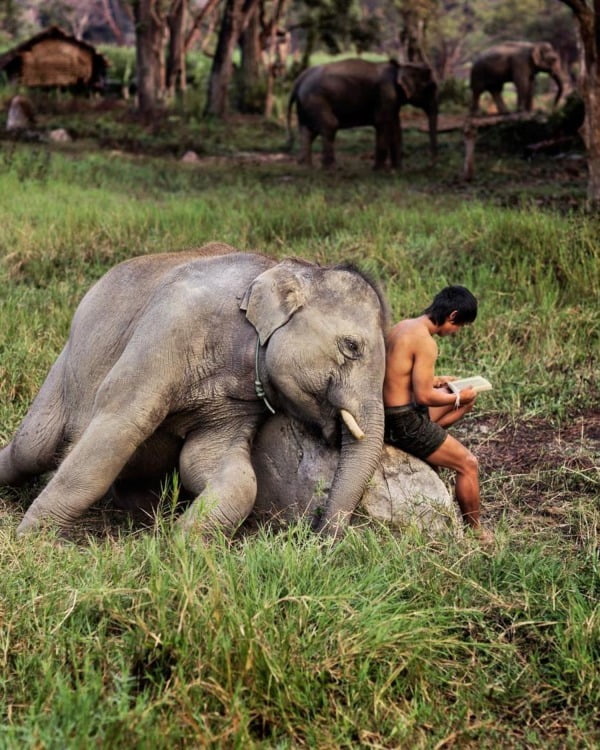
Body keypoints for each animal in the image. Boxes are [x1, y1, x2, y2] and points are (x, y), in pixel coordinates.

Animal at [1, 245, 390, 540]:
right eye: (352, 346)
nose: (318, 535)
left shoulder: (238, 401)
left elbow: (217, 465)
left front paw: (181, 545)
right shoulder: (171, 325)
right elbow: (120, 425)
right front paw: (32, 540)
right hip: (66, 364)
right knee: (32, 448)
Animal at [286, 58, 436, 170]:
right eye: (431, 88)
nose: (430, 165)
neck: (400, 66)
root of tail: (299, 80)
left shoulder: (392, 100)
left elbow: (395, 127)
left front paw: (397, 170)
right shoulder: (386, 94)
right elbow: (382, 123)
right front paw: (380, 170)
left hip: (306, 104)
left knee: (308, 131)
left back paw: (306, 167)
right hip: (316, 100)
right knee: (330, 125)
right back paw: (332, 169)